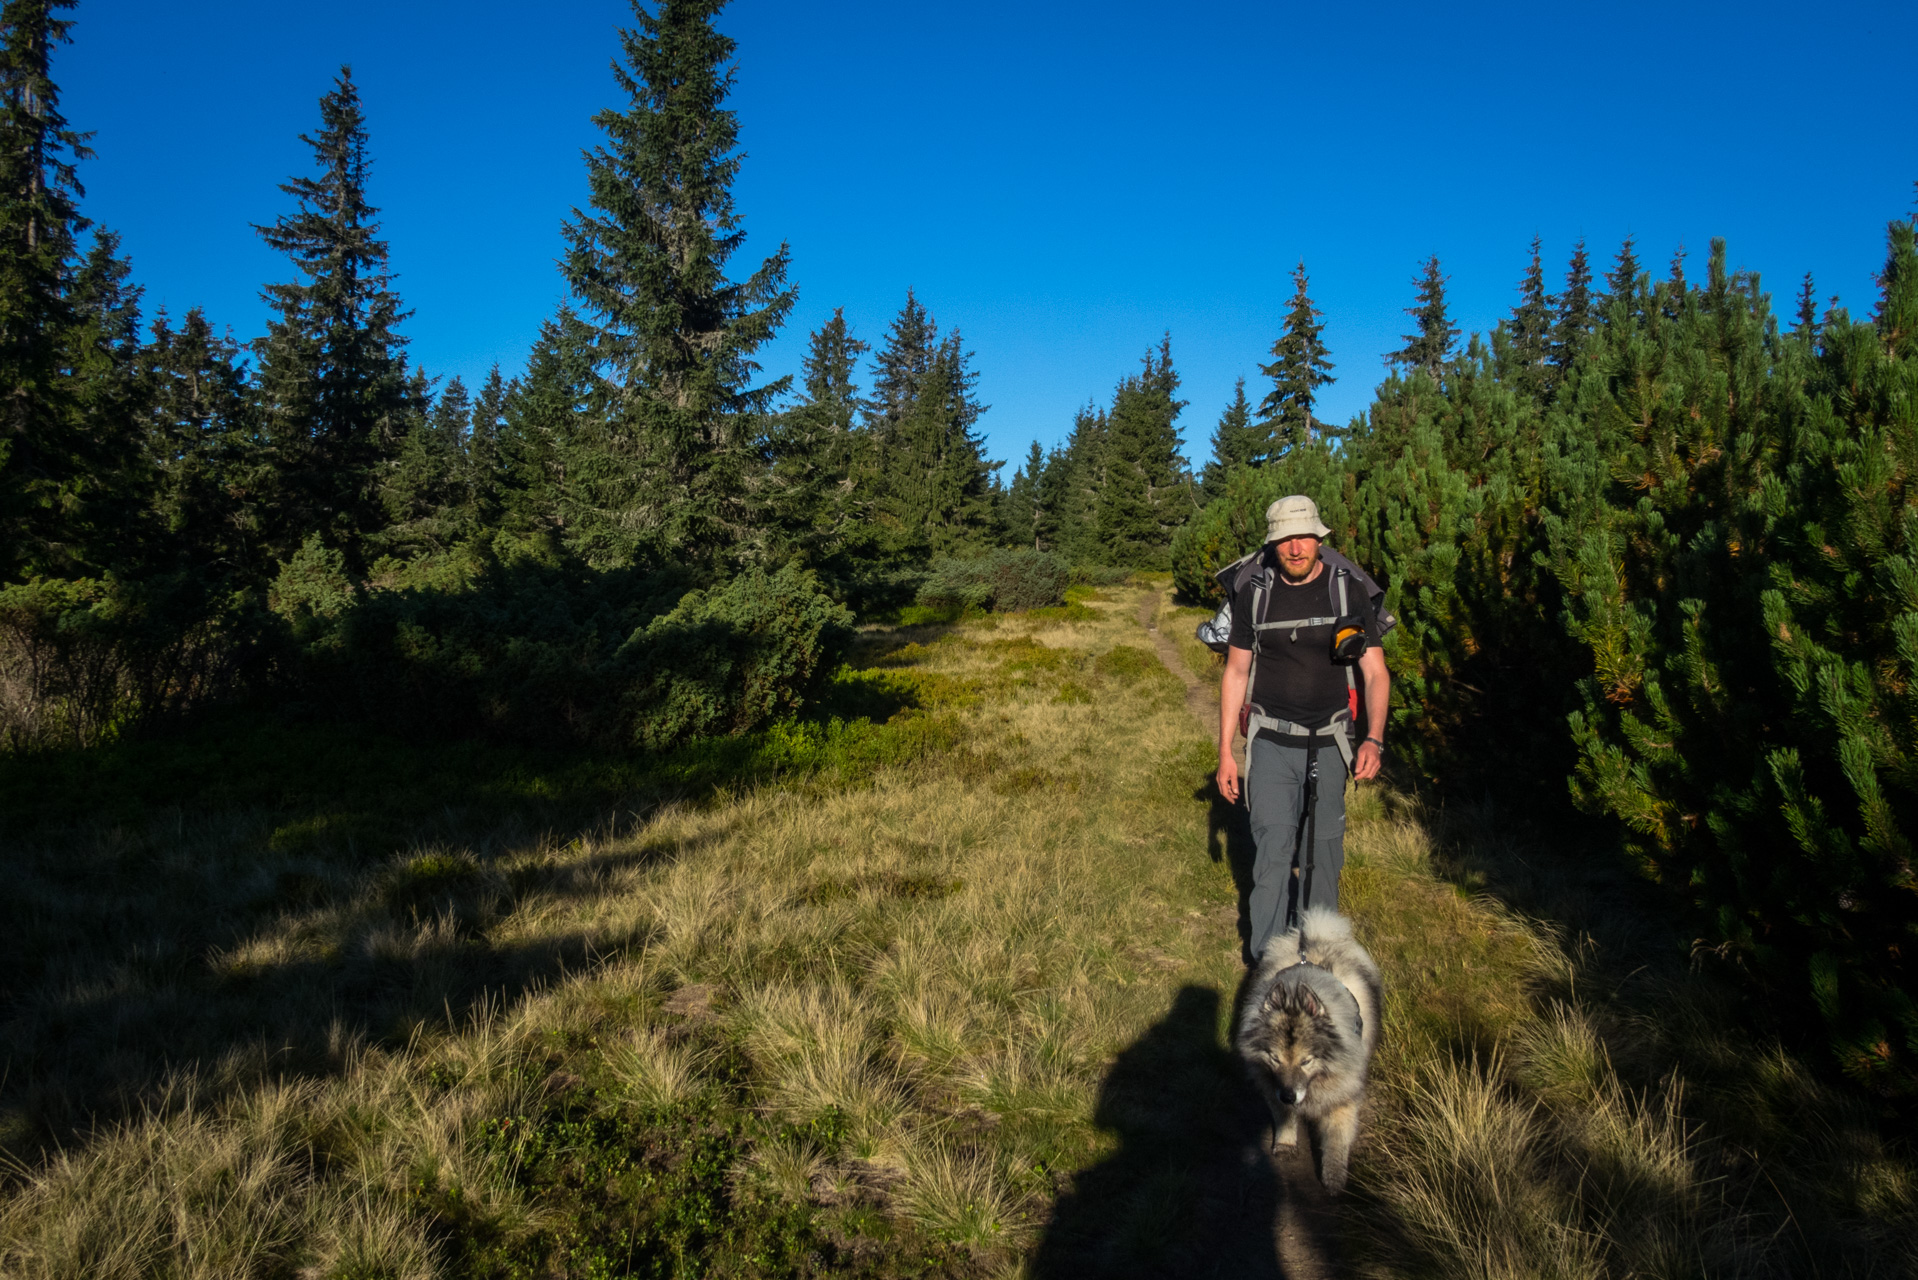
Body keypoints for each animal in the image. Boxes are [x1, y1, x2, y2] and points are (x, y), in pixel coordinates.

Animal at [1235, 909, 1388, 1189]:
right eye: (1275, 1059)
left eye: (1306, 1061)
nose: (1289, 1095)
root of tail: (1315, 940)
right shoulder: (1272, 1084)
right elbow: (1284, 1115)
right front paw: (1285, 1143)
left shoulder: (1344, 1091)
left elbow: (1337, 1135)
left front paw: (1334, 1176)